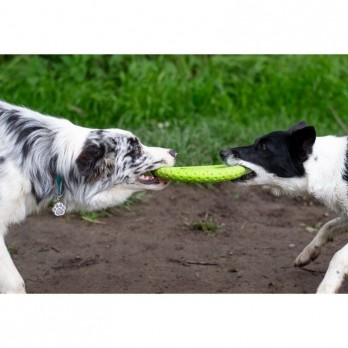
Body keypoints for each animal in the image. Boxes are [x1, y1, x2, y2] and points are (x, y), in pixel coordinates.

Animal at [220, 121, 348, 292]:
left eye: (263, 147)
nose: (222, 152)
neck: (324, 166)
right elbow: (327, 226)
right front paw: (308, 253)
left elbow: (338, 256)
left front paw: (326, 288)